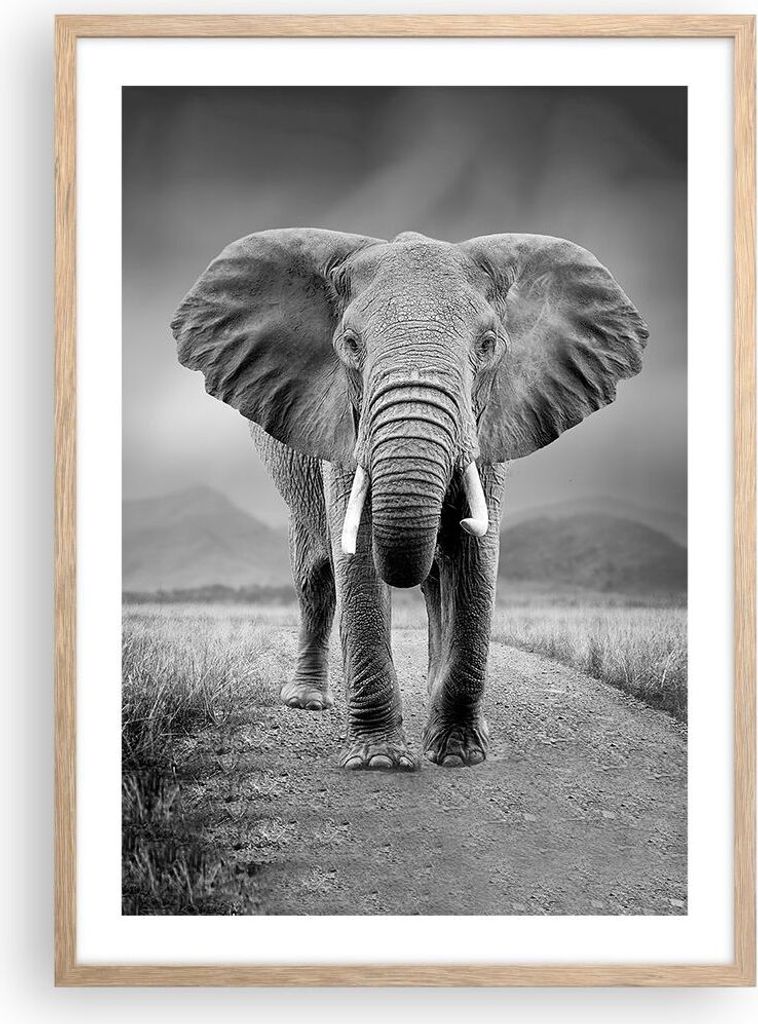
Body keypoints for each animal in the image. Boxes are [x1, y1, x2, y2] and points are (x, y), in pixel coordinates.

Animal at [170, 229, 648, 771]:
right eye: (350, 345)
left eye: (488, 345)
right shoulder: (344, 426)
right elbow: (355, 558)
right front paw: (379, 761)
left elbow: (475, 558)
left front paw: (459, 755)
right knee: (315, 573)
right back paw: (306, 701)